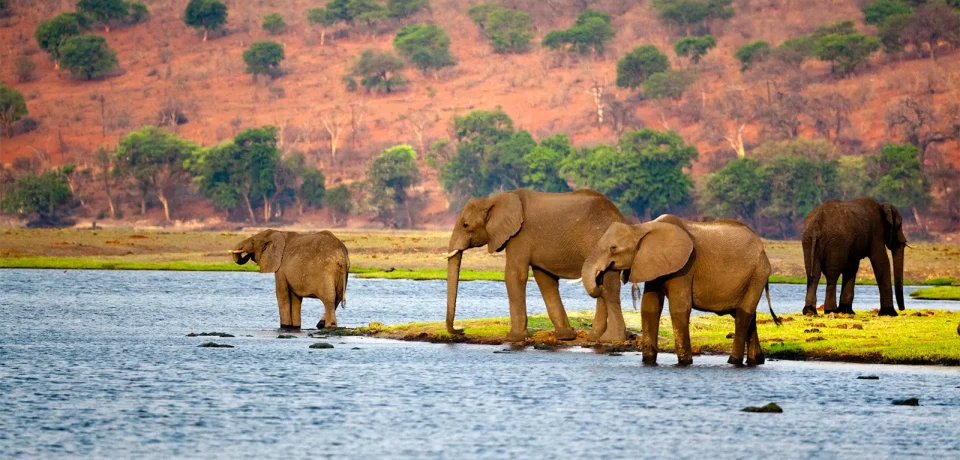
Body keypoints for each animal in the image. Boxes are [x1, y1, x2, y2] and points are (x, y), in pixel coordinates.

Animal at [443, 189, 627, 342]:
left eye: (465, 225)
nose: (461, 331)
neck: (494, 199)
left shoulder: (519, 236)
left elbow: (514, 275)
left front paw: (513, 338)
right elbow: (545, 280)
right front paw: (565, 337)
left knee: (610, 288)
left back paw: (609, 339)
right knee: (602, 284)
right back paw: (595, 337)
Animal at [581, 215, 780, 366]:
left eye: (613, 248)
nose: (599, 282)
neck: (642, 228)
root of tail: (763, 249)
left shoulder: (685, 266)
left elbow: (679, 307)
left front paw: (685, 362)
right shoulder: (653, 264)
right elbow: (649, 307)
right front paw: (648, 361)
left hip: (757, 273)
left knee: (743, 315)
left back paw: (733, 361)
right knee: (747, 315)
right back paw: (756, 361)